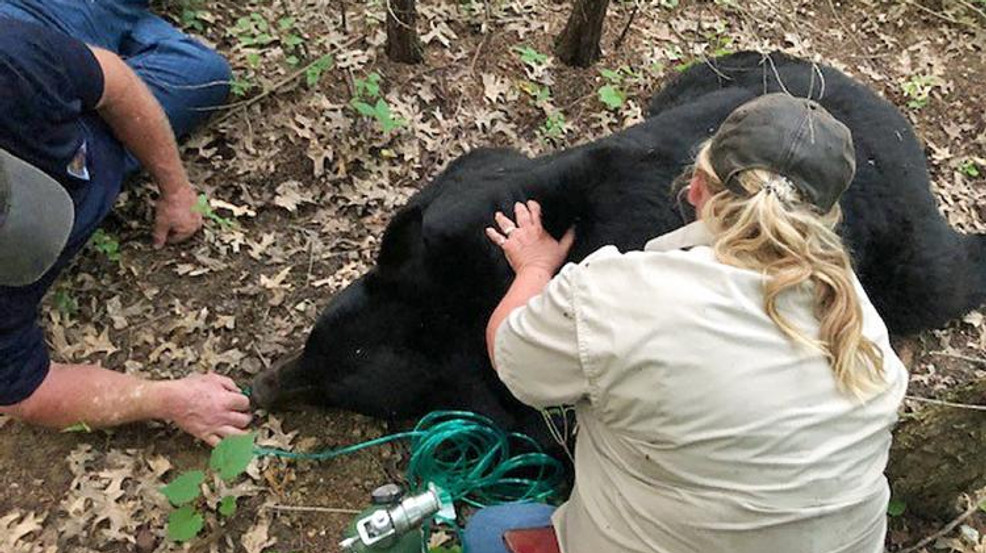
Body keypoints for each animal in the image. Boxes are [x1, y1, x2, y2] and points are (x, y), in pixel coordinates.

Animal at [251, 51, 986, 449]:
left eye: (336, 383)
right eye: (317, 340)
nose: (261, 385)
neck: (456, 286)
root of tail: (897, 128)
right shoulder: (470, 192)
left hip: (901, 245)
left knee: (939, 277)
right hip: (727, 77)